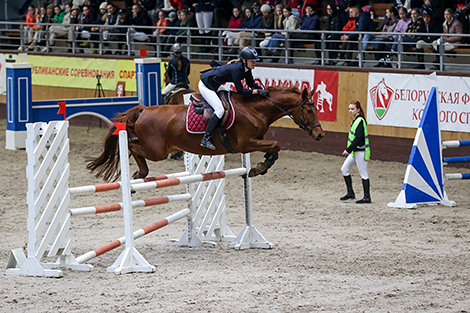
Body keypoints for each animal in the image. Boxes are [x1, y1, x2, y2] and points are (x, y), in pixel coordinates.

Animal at [87, 86, 324, 182]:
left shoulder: (252, 142)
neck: (255, 109)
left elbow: (275, 147)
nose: (320, 135)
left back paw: (140, 174)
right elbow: (276, 145)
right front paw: (260, 167)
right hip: (156, 150)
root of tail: (144, 109)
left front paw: (260, 166)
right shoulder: (245, 143)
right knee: (132, 146)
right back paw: (140, 172)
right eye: (309, 110)